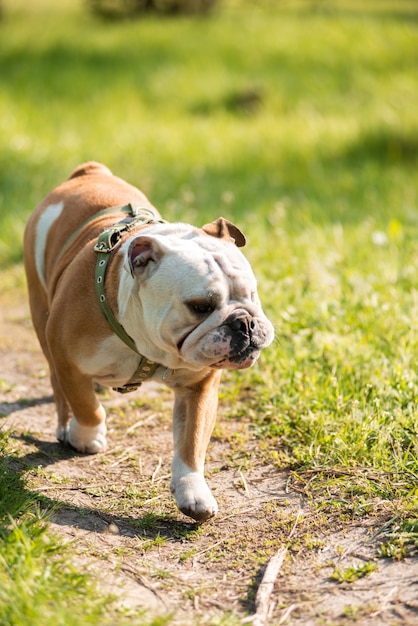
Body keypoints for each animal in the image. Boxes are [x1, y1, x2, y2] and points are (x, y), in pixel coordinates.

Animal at [25, 158, 274, 520]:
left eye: (252, 294)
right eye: (200, 306)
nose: (244, 323)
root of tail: (89, 172)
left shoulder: (199, 388)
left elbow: (192, 441)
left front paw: (193, 490)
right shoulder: (67, 358)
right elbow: (86, 406)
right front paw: (86, 436)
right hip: (41, 312)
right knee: (59, 385)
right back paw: (65, 425)